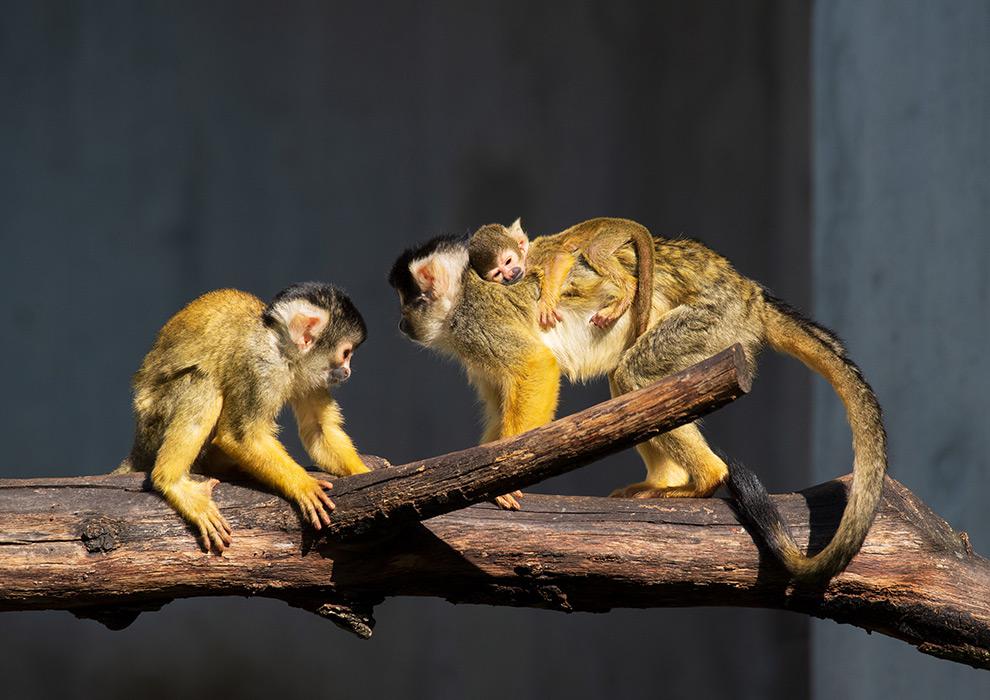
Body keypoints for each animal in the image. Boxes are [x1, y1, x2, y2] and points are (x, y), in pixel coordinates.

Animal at [116, 280, 370, 552]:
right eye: (346, 353)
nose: (347, 371)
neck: (280, 348)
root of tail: (137, 447)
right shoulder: (259, 366)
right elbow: (240, 437)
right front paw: (304, 486)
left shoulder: (312, 374)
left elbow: (318, 428)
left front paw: (363, 472)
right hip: (153, 422)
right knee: (203, 381)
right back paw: (171, 481)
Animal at [472, 217, 660, 334]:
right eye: (498, 273)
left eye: (509, 261)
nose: (510, 275)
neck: (526, 258)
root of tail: (623, 222)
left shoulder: (536, 256)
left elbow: (558, 259)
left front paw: (546, 304)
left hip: (612, 234)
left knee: (594, 250)